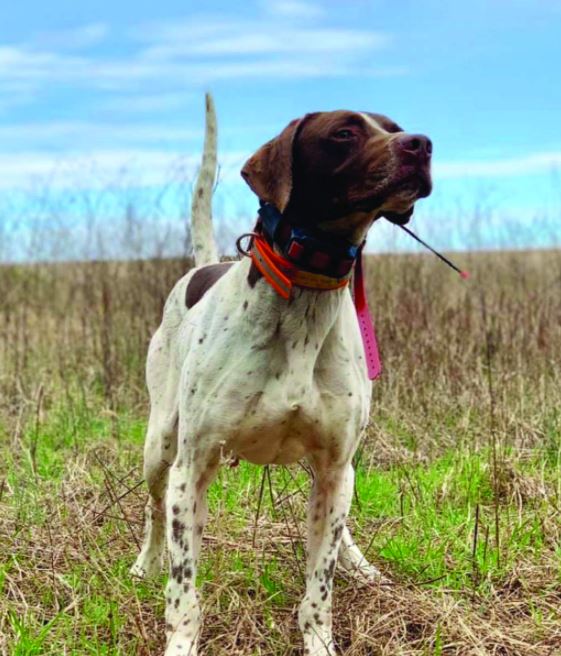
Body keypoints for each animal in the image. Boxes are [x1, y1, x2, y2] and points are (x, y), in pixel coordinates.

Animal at [129, 95, 430, 652]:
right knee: (155, 512)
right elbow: (183, 588)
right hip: (159, 445)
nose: (420, 145)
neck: (306, 294)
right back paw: (146, 562)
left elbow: (319, 584)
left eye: (394, 127)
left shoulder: (335, 466)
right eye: (343, 133)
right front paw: (181, 641)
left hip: (336, 472)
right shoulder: (191, 469)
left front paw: (320, 639)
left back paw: (361, 565)